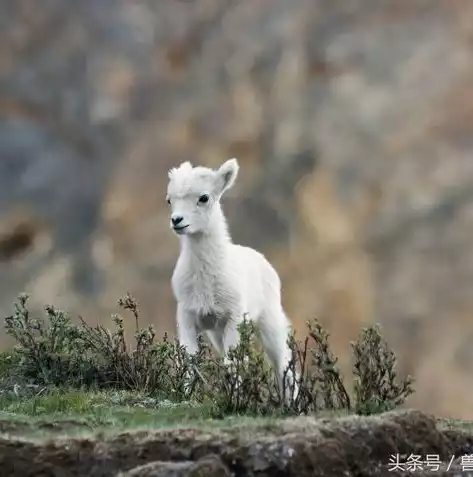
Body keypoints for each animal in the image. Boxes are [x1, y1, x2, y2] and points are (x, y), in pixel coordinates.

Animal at [167, 159, 296, 398]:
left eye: (204, 197)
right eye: (169, 200)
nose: (177, 221)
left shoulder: (233, 320)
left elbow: (232, 365)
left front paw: (235, 397)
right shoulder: (188, 319)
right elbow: (189, 363)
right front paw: (186, 394)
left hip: (269, 322)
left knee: (283, 363)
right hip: (217, 334)